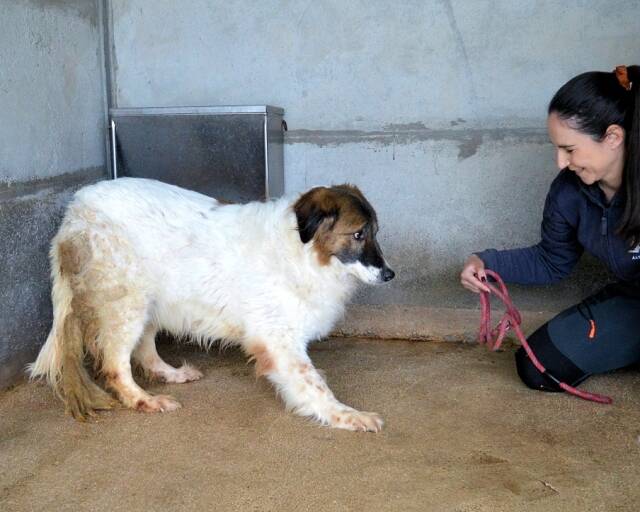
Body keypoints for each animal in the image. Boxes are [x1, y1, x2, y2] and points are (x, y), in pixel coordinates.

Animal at [28, 178, 395, 431]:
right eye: (359, 234)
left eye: (376, 232)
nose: (390, 275)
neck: (302, 251)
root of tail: (77, 208)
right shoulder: (279, 340)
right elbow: (314, 384)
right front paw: (347, 415)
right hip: (127, 305)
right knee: (115, 366)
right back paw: (144, 400)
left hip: (150, 301)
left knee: (145, 350)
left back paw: (171, 374)